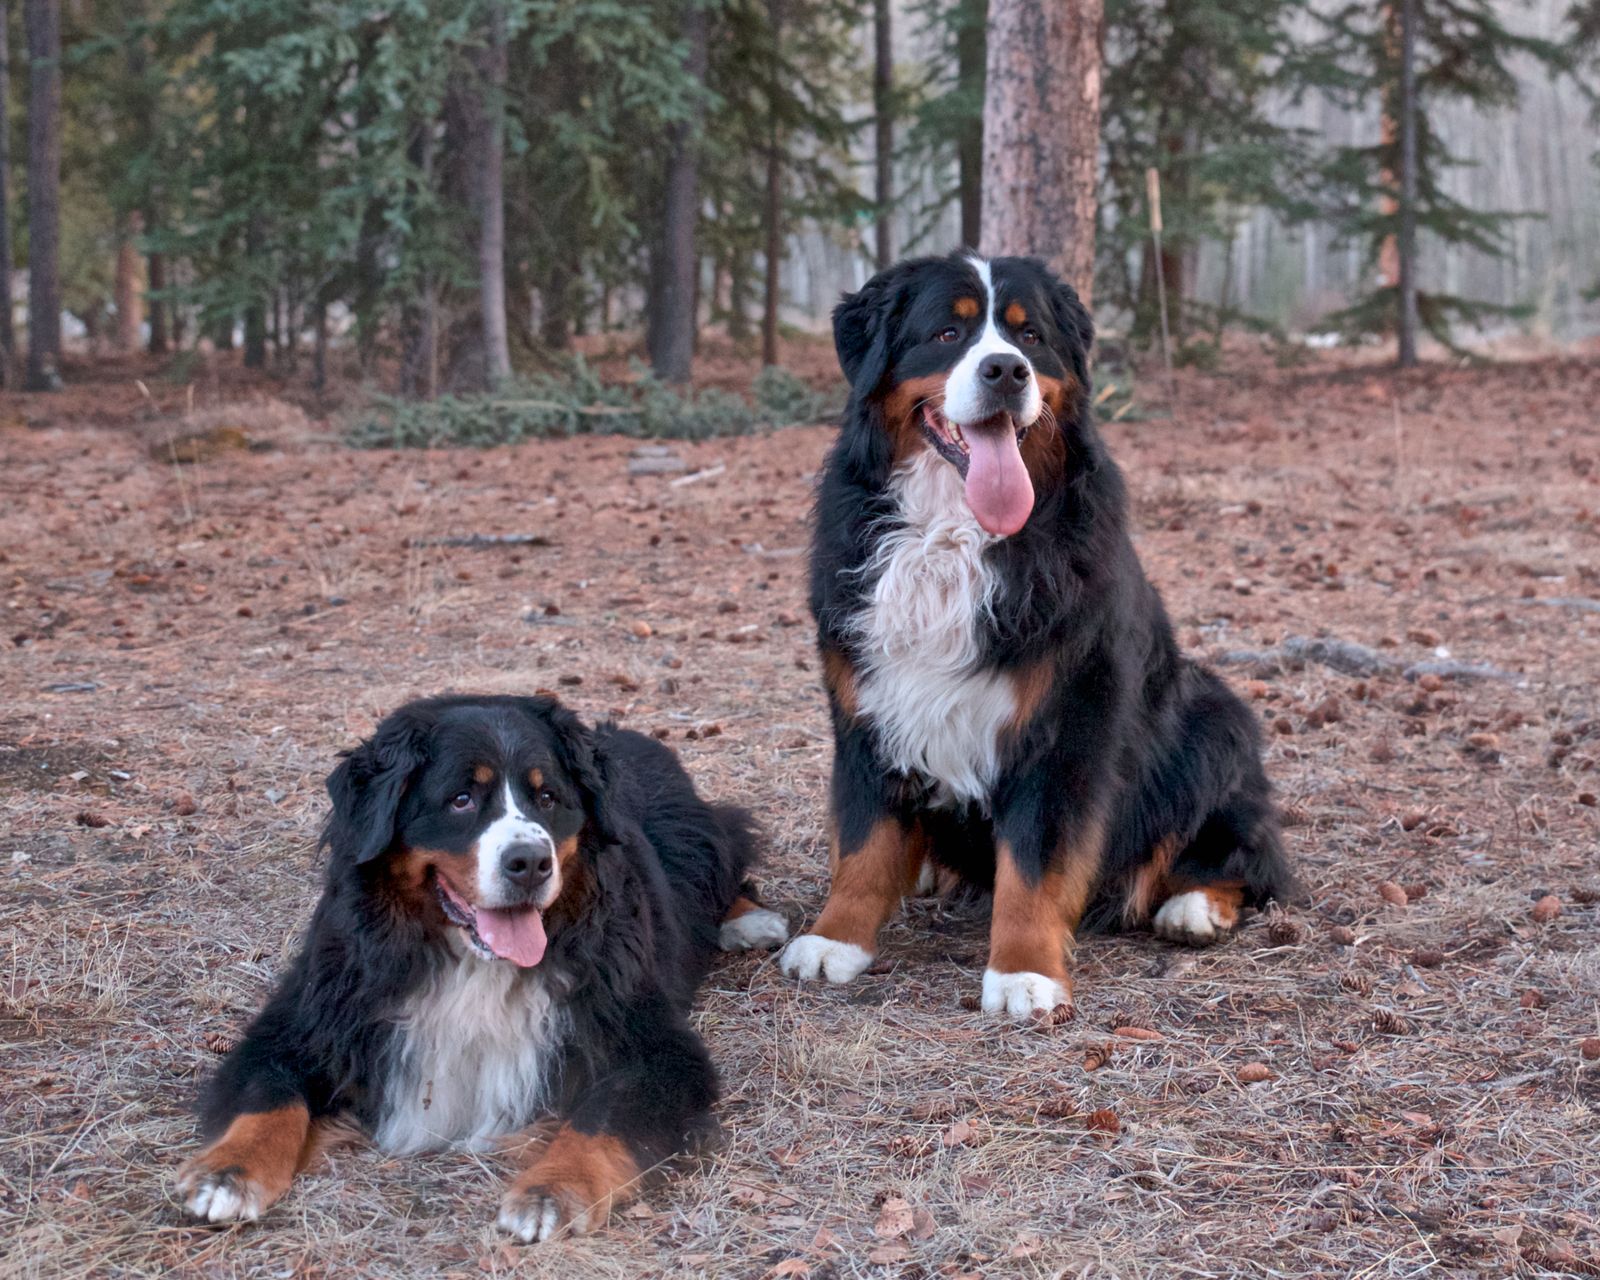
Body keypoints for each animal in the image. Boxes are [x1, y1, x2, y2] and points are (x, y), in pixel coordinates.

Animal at [176, 695, 787, 1239]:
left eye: (548, 797)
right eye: (461, 799)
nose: (530, 862)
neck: (473, 964)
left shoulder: (654, 1046)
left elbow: (601, 1118)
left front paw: (554, 1189)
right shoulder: (309, 1015)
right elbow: (270, 1091)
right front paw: (227, 1173)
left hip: (694, 831)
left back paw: (752, 921)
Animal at [778, 252, 1292, 1020]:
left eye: (1030, 337)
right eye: (948, 331)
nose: (1006, 371)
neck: (953, 536)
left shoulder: (1064, 723)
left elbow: (1035, 860)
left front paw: (1024, 971)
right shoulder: (868, 704)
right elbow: (864, 841)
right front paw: (835, 939)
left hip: (1213, 714)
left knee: (1247, 856)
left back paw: (1194, 906)